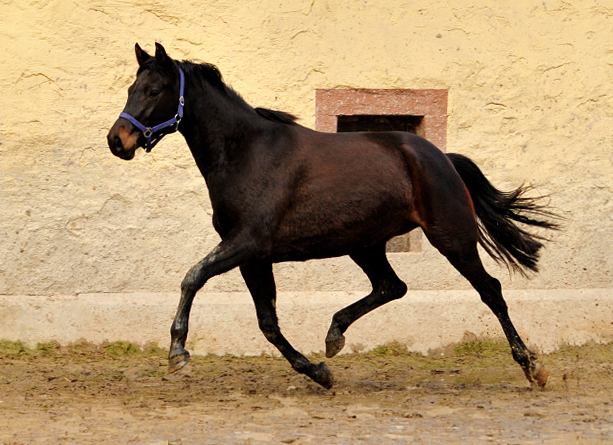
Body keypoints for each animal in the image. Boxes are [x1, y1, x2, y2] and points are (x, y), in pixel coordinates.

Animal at [107, 42, 556, 388]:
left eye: (153, 89)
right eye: (131, 87)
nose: (117, 140)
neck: (245, 154)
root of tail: (442, 157)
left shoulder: (246, 244)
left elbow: (192, 277)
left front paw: (177, 351)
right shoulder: (254, 257)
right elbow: (267, 322)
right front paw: (319, 372)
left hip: (450, 235)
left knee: (490, 290)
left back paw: (532, 367)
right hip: (366, 245)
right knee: (392, 286)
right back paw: (334, 334)